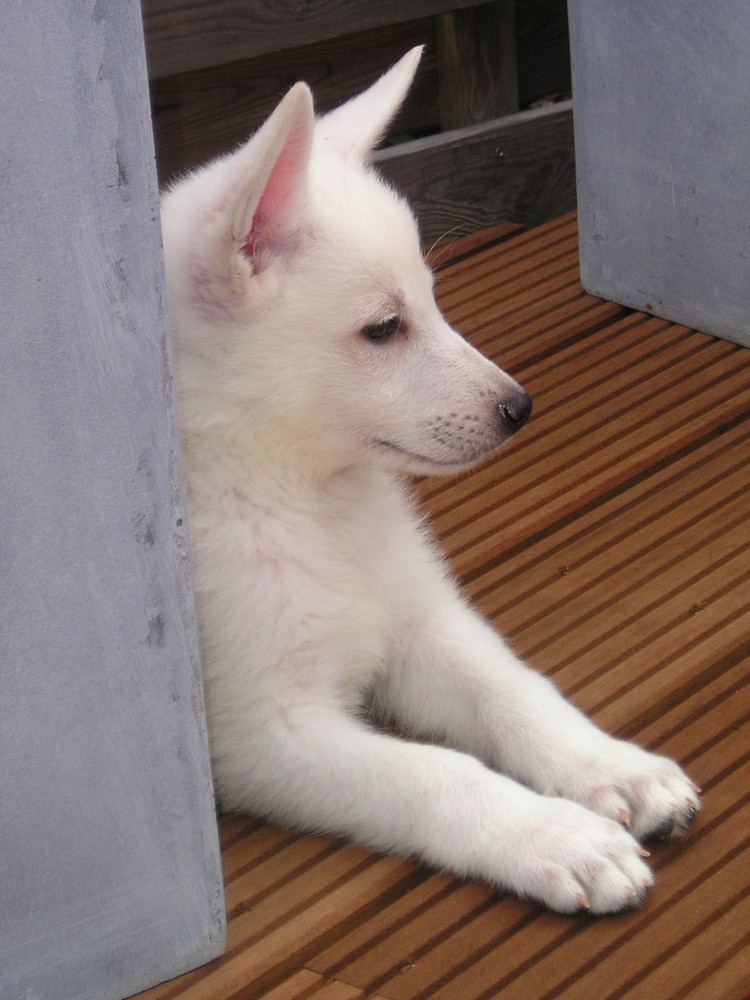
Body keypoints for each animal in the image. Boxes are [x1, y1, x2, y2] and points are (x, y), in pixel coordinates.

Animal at [162, 52, 704, 916]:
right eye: (384, 328)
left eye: (431, 299)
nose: (519, 408)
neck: (300, 495)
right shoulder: (262, 734)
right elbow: (436, 772)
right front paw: (555, 836)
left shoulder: (426, 623)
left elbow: (516, 693)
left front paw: (611, 767)